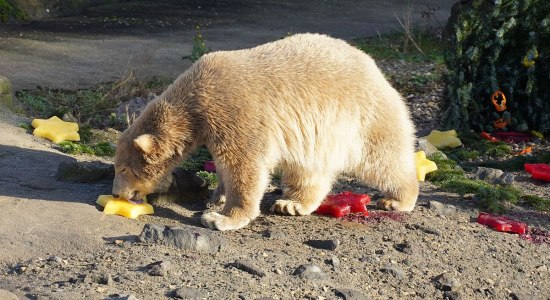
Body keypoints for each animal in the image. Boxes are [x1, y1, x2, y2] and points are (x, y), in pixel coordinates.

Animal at [114, 34, 420, 232]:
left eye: (123, 169)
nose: (117, 193)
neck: (194, 98)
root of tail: (375, 68)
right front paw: (216, 199)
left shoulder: (235, 112)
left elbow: (244, 165)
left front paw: (222, 218)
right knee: (308, 169)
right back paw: (292, 204)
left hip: (363, 117)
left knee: (381, 159)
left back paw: (398, 199)